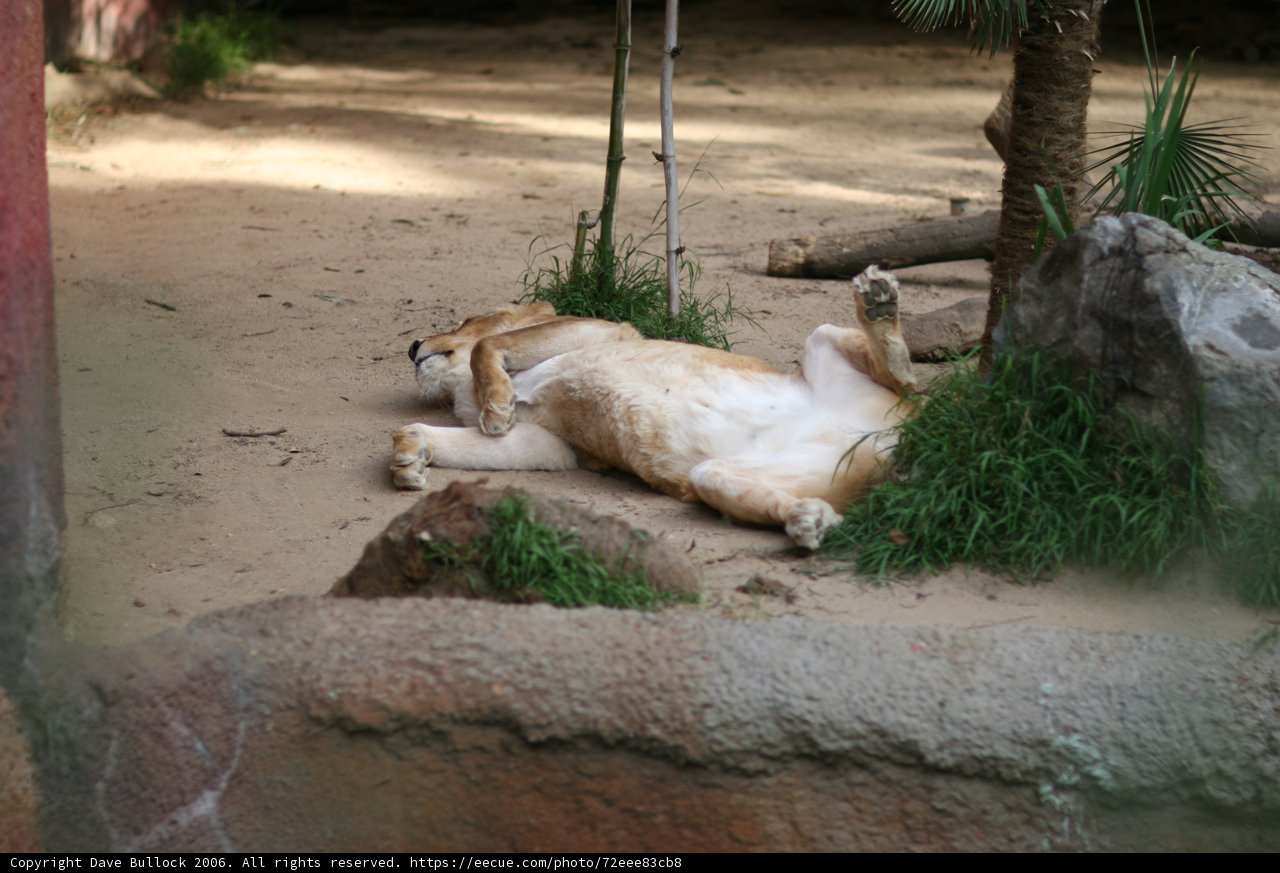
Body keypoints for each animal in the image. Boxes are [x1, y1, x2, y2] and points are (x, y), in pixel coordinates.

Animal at [390, 265, 917, 550]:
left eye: (464, 319)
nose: (412, 345)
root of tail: (900, 446)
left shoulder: (595, 329)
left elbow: (490, 346)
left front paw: (496, 406)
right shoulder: (548, 443)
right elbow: (463, 441)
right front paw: (408, 457)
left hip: (821, 340)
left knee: (907, 378)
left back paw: (879, 304)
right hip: (720, 473)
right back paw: (810, 521)